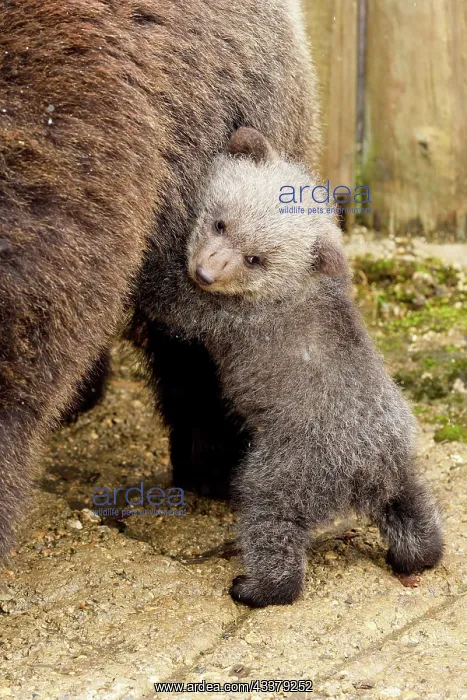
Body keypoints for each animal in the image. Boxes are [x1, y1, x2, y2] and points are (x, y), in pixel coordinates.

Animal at [170, 127, 442, 607]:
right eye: (221, 222)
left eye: (256, 258)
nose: (205, 272)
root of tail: (365, 468)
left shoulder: (227, 317)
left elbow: (170, 300)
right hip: (399, 459)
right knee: (411, 507)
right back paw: (418, 554)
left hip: (289, 467)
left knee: (271, 520)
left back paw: (254, 586)